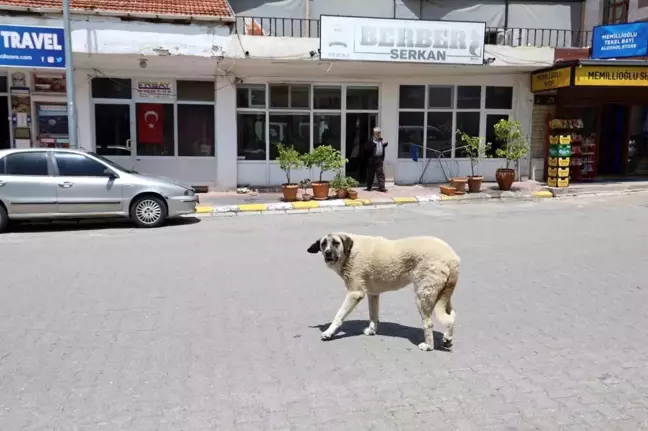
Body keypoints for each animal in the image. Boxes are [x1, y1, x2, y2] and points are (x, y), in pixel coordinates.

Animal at [308, 233, 460, 352]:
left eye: (336, 243)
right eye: (323, 244)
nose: (327, 253)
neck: (349, 252)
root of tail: (452, 258)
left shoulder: (354, 293)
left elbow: (339, 315)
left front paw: (328, 332)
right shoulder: (373, 294)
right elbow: (373, 315)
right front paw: (372, 330)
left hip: (423, 296)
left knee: (429, 323)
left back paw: (428, 346)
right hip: (443, 295)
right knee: (451, 315)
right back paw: (447, 338)